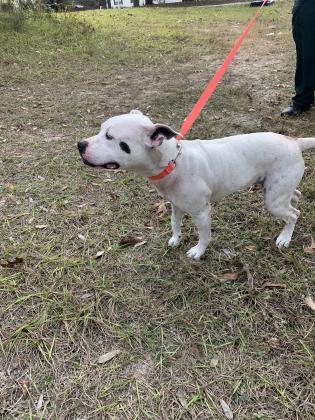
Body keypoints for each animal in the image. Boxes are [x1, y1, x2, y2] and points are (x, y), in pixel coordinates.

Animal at [78, 110, 314, 258]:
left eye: (110, 137)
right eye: (100, 130)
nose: (80, 144)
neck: (172, 162)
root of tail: (294, 141)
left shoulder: (201, 212)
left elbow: (205, 236)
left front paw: (198, 252)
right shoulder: (175, 205)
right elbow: (175, 223)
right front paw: (176, 239)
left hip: (273, 201)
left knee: (293, 214)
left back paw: (285, 237)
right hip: (276, 189)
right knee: (296, 197)